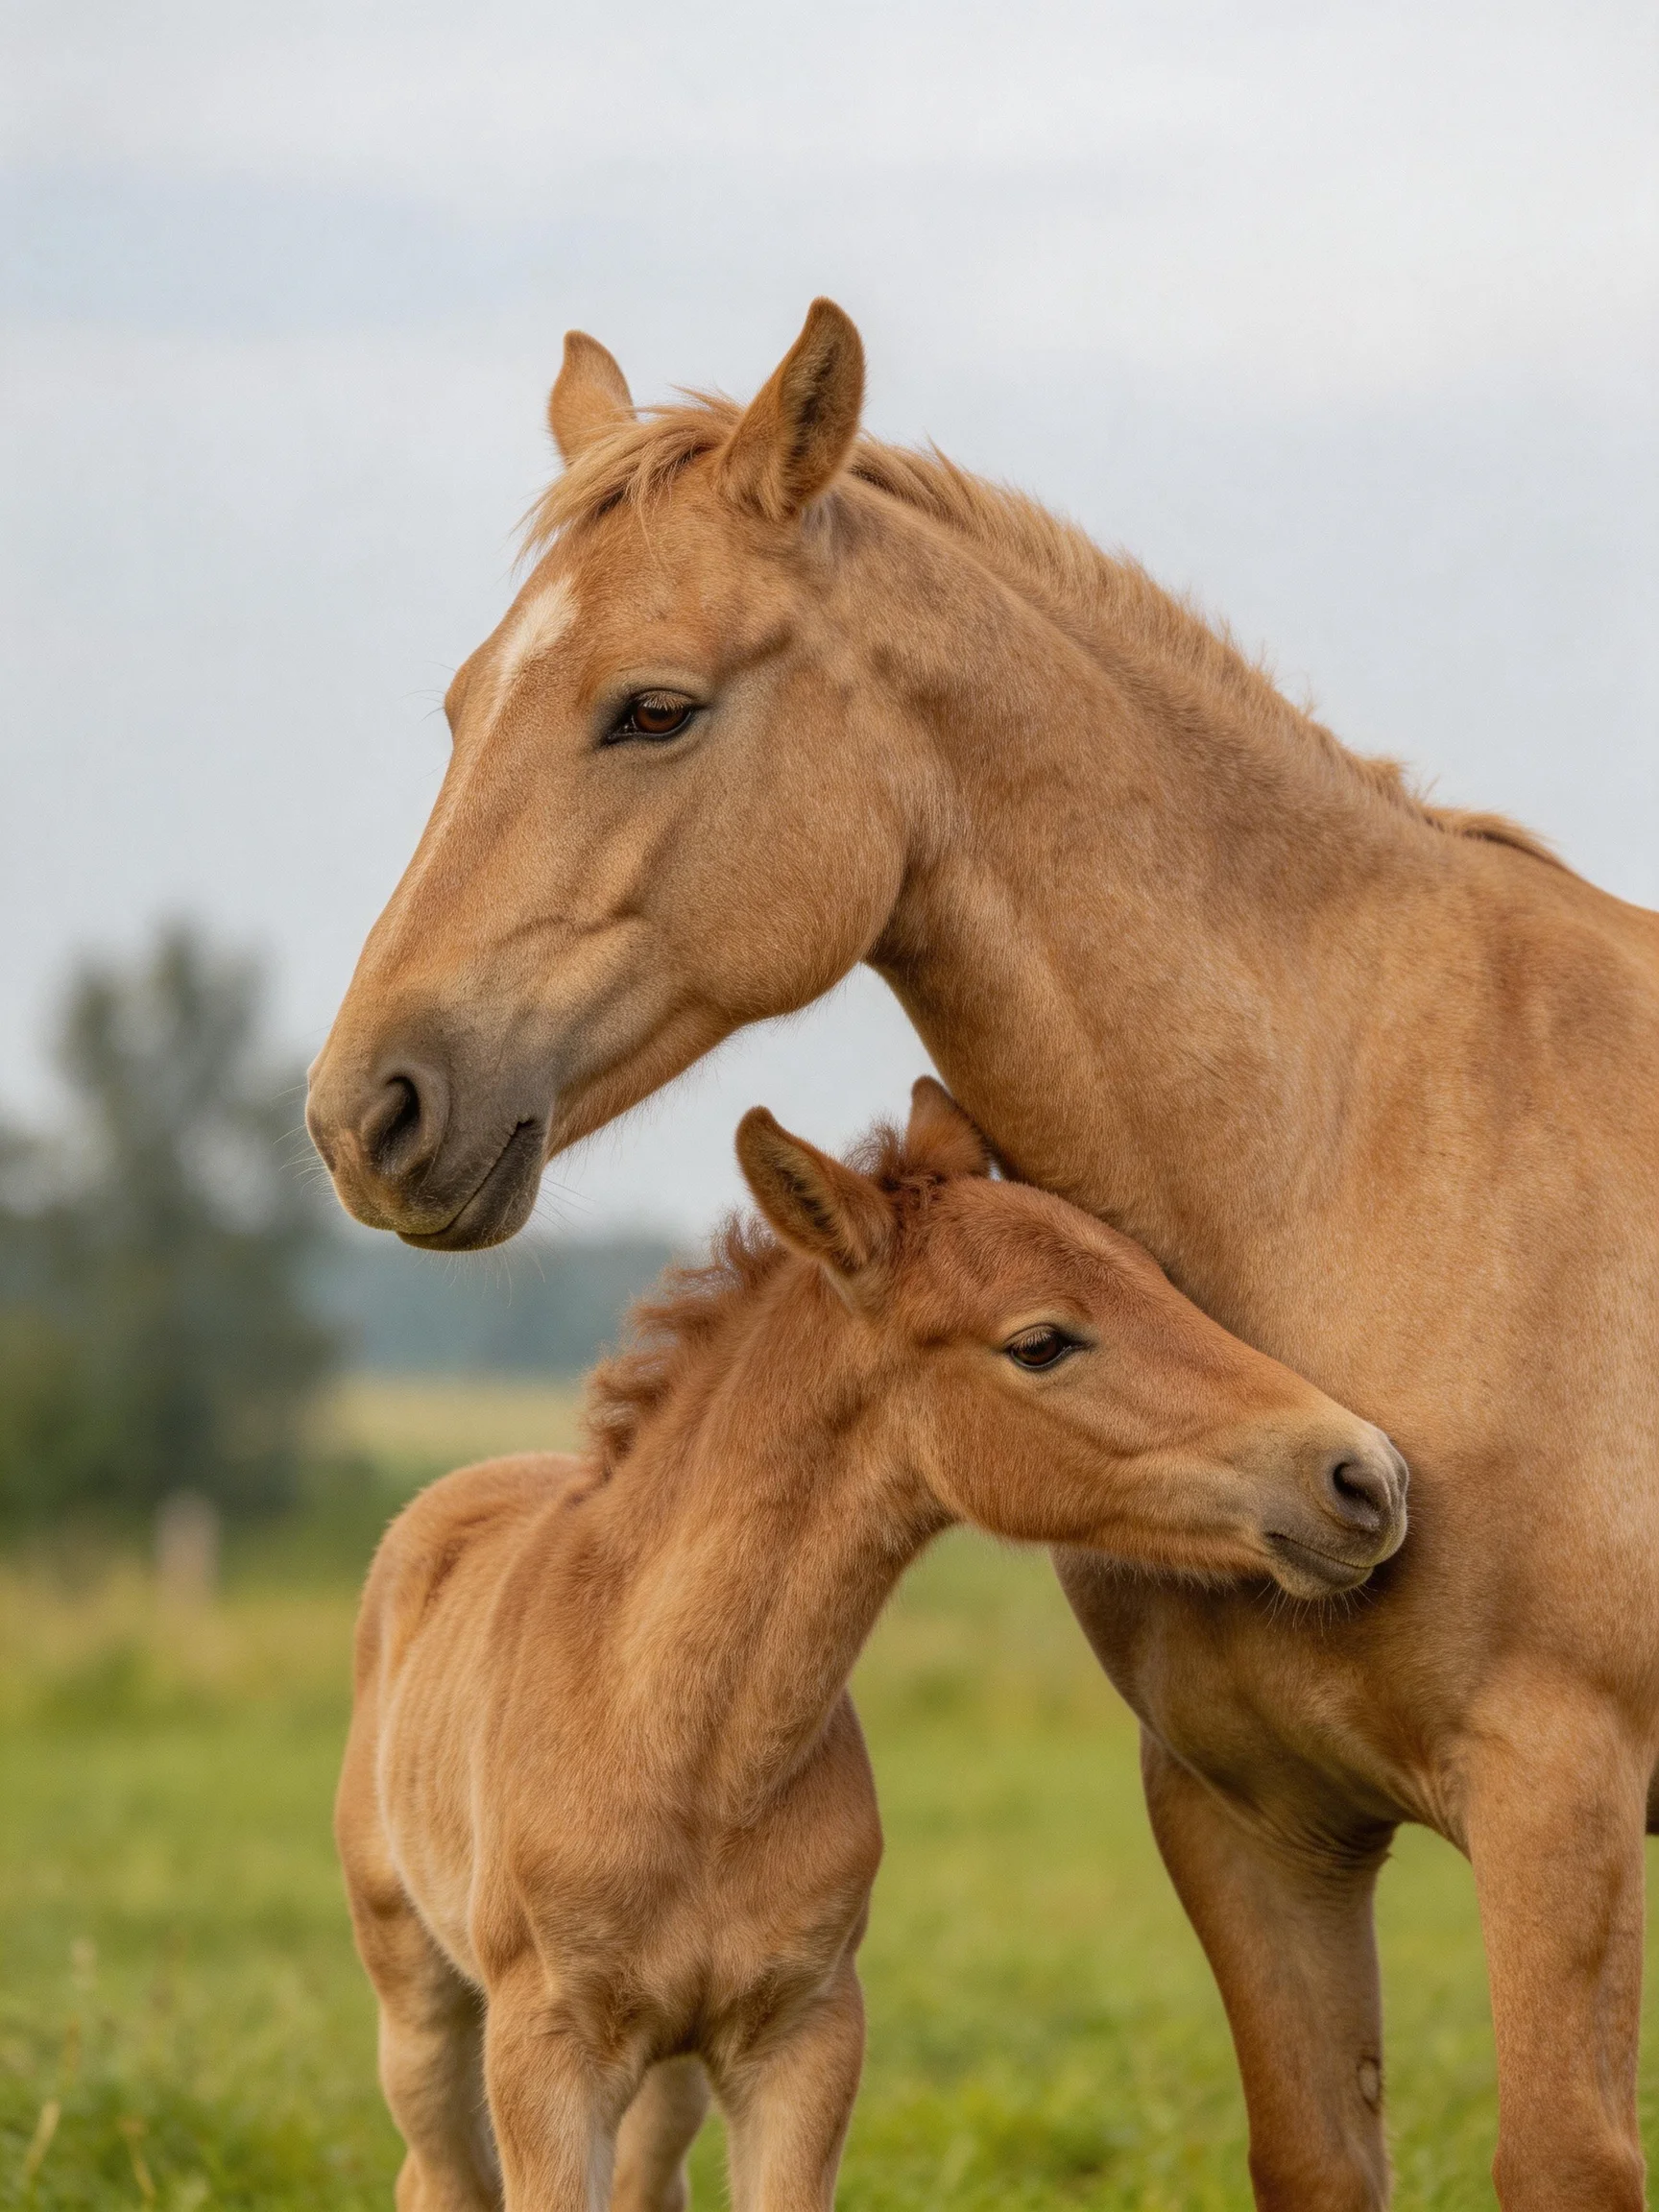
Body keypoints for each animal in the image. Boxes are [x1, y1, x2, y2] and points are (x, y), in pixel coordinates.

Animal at [336, 1080, 1406, 2212]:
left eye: (1158, 1276)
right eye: (1041, 1342)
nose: (1363, 1476)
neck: (687, 1749)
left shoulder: (805, 2036)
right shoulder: (546, 2051)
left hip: (668, 2071)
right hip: (419, 2000)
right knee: (436, 2173)